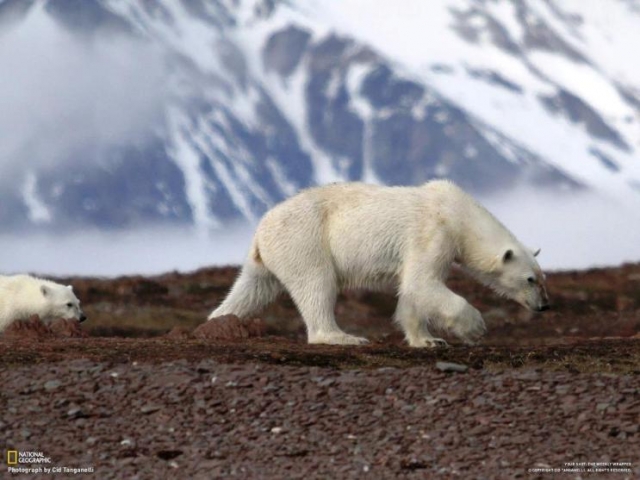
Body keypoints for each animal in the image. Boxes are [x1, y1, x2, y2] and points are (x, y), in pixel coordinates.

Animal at [209, 180, 552, 344]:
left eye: (542, 277)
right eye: (530, 280)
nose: (544, 306)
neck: (458, 214)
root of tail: (260, 229)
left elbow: (413, 291)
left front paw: (429, 340)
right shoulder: (432, 232)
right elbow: (422, 282)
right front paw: (475, 328)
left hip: (271, 255)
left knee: (251, 289)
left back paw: (219, 320)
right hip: (305, 239)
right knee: (316, 284)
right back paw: (343, 337)